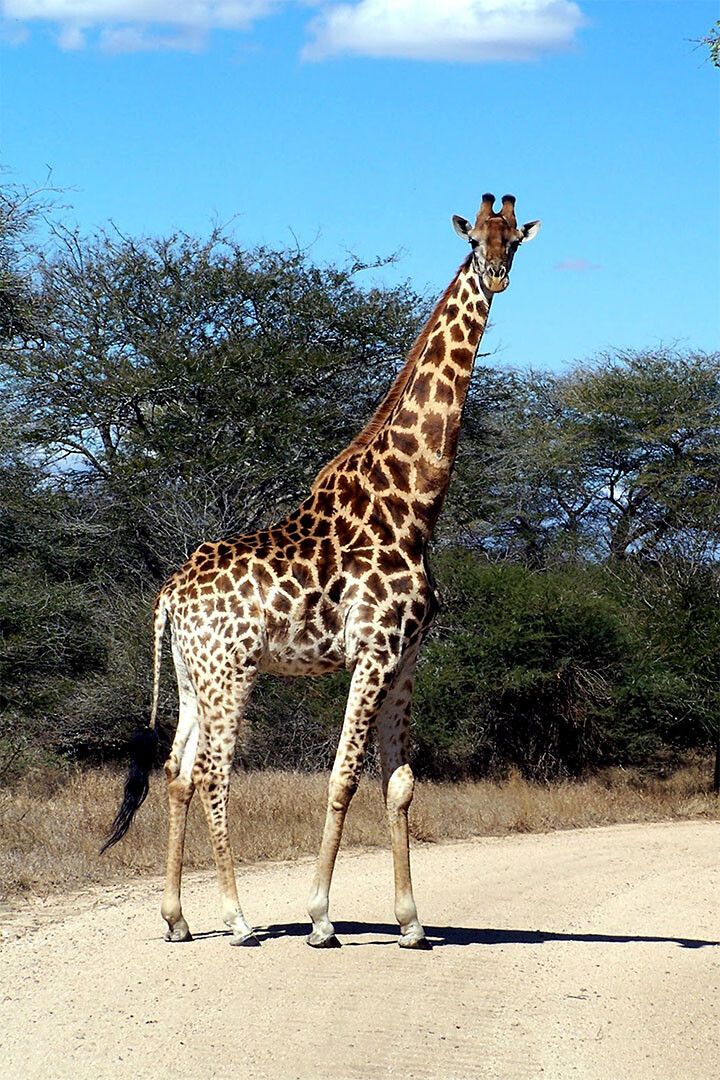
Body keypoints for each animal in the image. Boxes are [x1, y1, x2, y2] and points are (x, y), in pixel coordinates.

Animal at [103, 193, 540, 950]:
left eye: (513, 239)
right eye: (474, 240)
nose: (496, 275)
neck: (412, 505)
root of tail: (168, 594)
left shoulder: (406, 658)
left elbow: (400, 784)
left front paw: (412, 924)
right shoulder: (372, 652)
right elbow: (342, 780)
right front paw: (319, 918)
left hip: (192, 676)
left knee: (177, 771)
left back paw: (178, 919)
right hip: (232, 673)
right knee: (214, 773)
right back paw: (239, 920)